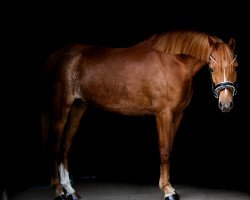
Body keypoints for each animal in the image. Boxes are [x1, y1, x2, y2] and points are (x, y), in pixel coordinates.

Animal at [39, 30, 238, 200]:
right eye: (211, 68)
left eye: (236, 66)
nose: (226, 104)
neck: (173, 63)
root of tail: (53, 57)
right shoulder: (163, 114)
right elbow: (164, 150)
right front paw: (168, 191)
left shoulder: (178, 114)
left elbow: (170, 148)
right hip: (60, 110)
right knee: (54, 147)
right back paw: (59, 191)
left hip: (77, 108)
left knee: (64, 147)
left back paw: (71, 191)